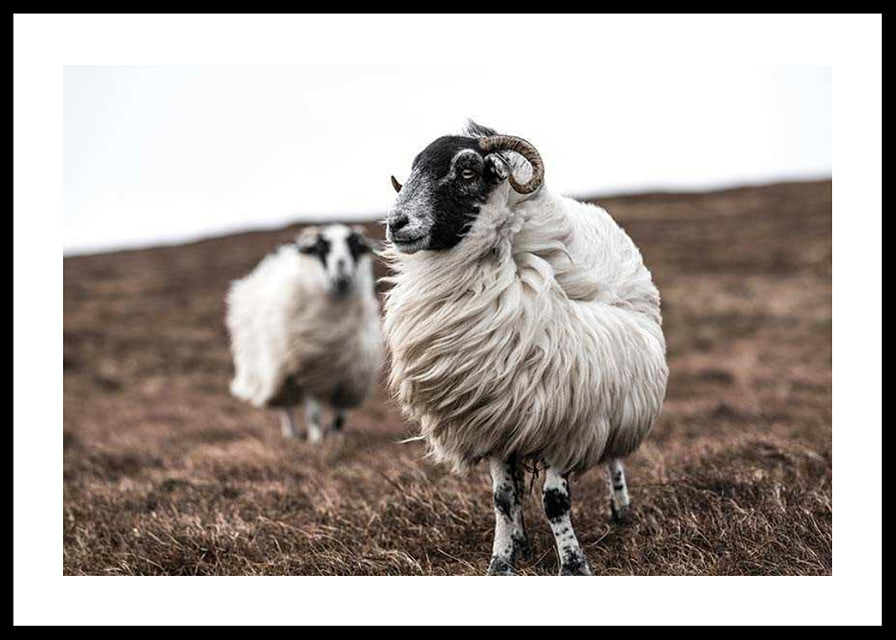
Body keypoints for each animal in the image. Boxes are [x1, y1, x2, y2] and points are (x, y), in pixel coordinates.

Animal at [226, 224, 383, 443]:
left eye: (354, 247)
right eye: (321, 248)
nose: (341, 275)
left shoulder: (349, 378)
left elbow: (340, 417)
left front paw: (336, 440)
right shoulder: (307, 374)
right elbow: (313, 414)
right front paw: (316, 441)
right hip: (277, 373)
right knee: (286, 408)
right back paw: (291, 434)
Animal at [381, 122, 669, 575]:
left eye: (467, 171)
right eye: (412, 170)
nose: (396, 223)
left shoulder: (567, 417)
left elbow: (555, 501)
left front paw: (573, 565)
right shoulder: (496, 417)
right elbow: (503, 499)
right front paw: (501, 562)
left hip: (615, 394)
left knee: (613, 458)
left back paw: (621, 510)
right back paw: (521, 540)